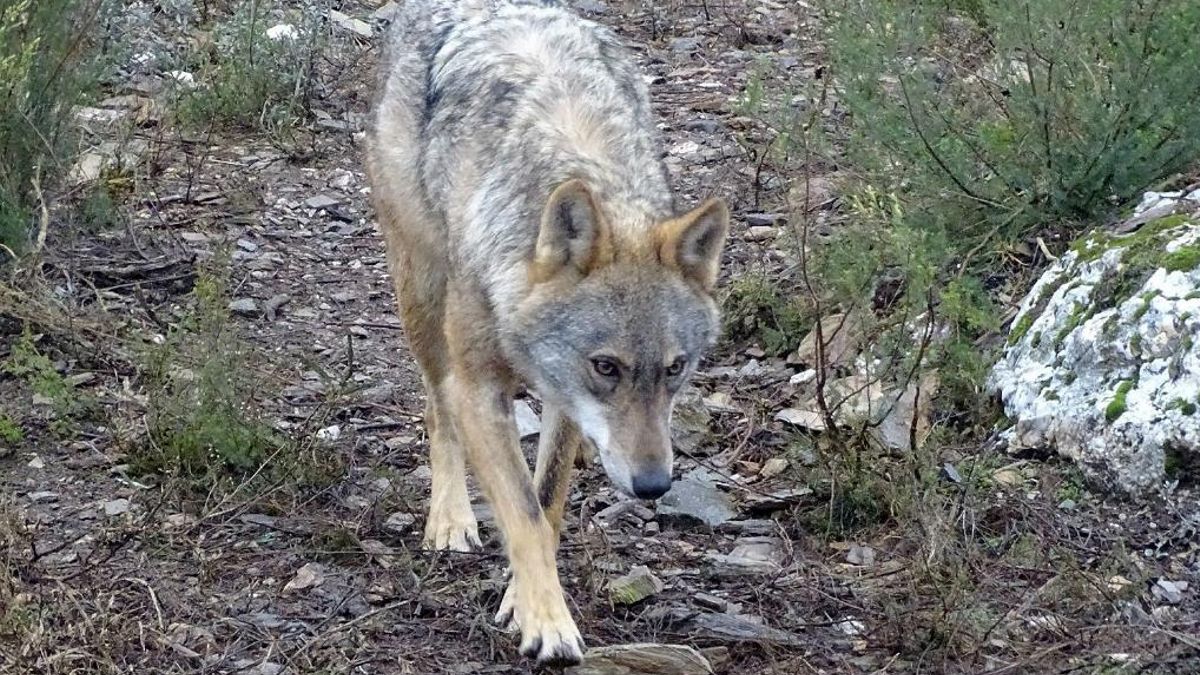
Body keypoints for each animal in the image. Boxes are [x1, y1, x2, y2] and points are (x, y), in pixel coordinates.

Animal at [366, 0, 729, 665]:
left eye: (675, 368)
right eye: (606, 366)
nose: (654, 486)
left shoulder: (565, 400)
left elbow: (548, 502)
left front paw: (522, 599)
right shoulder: (481, 388)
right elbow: (524, 513)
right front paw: (548, 623)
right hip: (421, 295)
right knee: (436, 408)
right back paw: (450, 518)